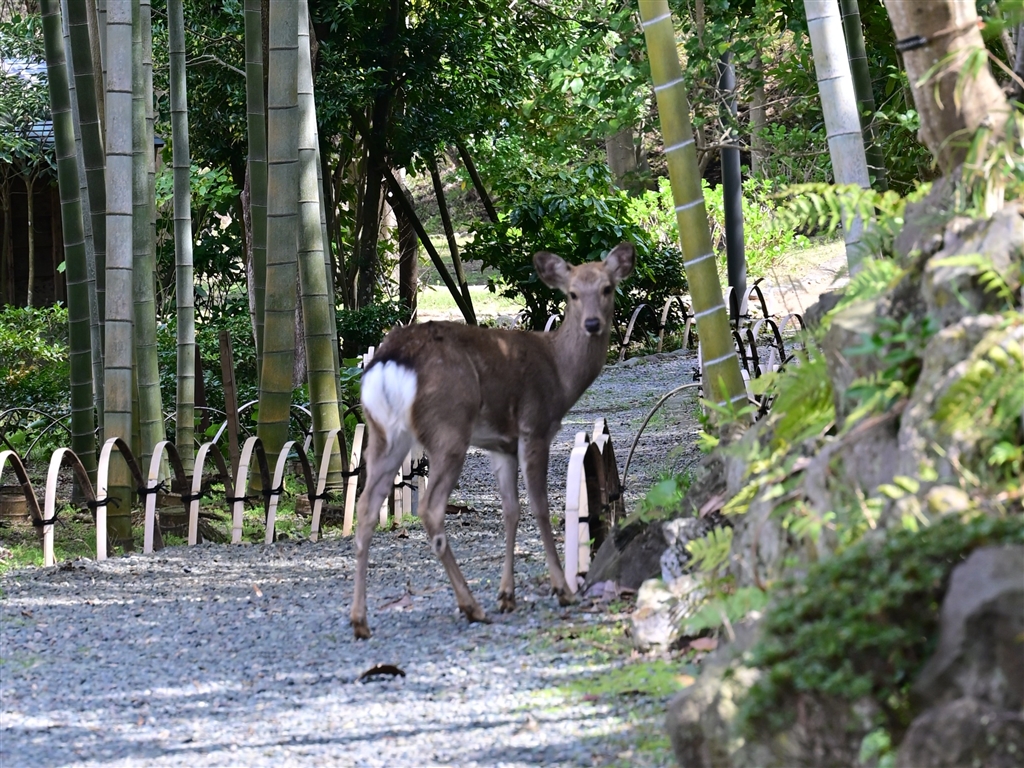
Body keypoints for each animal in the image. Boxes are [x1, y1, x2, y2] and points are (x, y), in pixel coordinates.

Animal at [349, 242, 635, 639]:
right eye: (573, 294)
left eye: (607, 288)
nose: (592, 324)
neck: (560, 374)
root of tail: (391, 362)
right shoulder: (535, 426)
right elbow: (540, 507)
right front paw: (562, 589)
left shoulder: (501, 445)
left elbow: (511, 511)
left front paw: (507, 596)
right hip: (449, 426)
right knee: (430, 509)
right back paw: (471, 606)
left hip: (383, 433)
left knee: (366, 507)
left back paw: (360, 621)